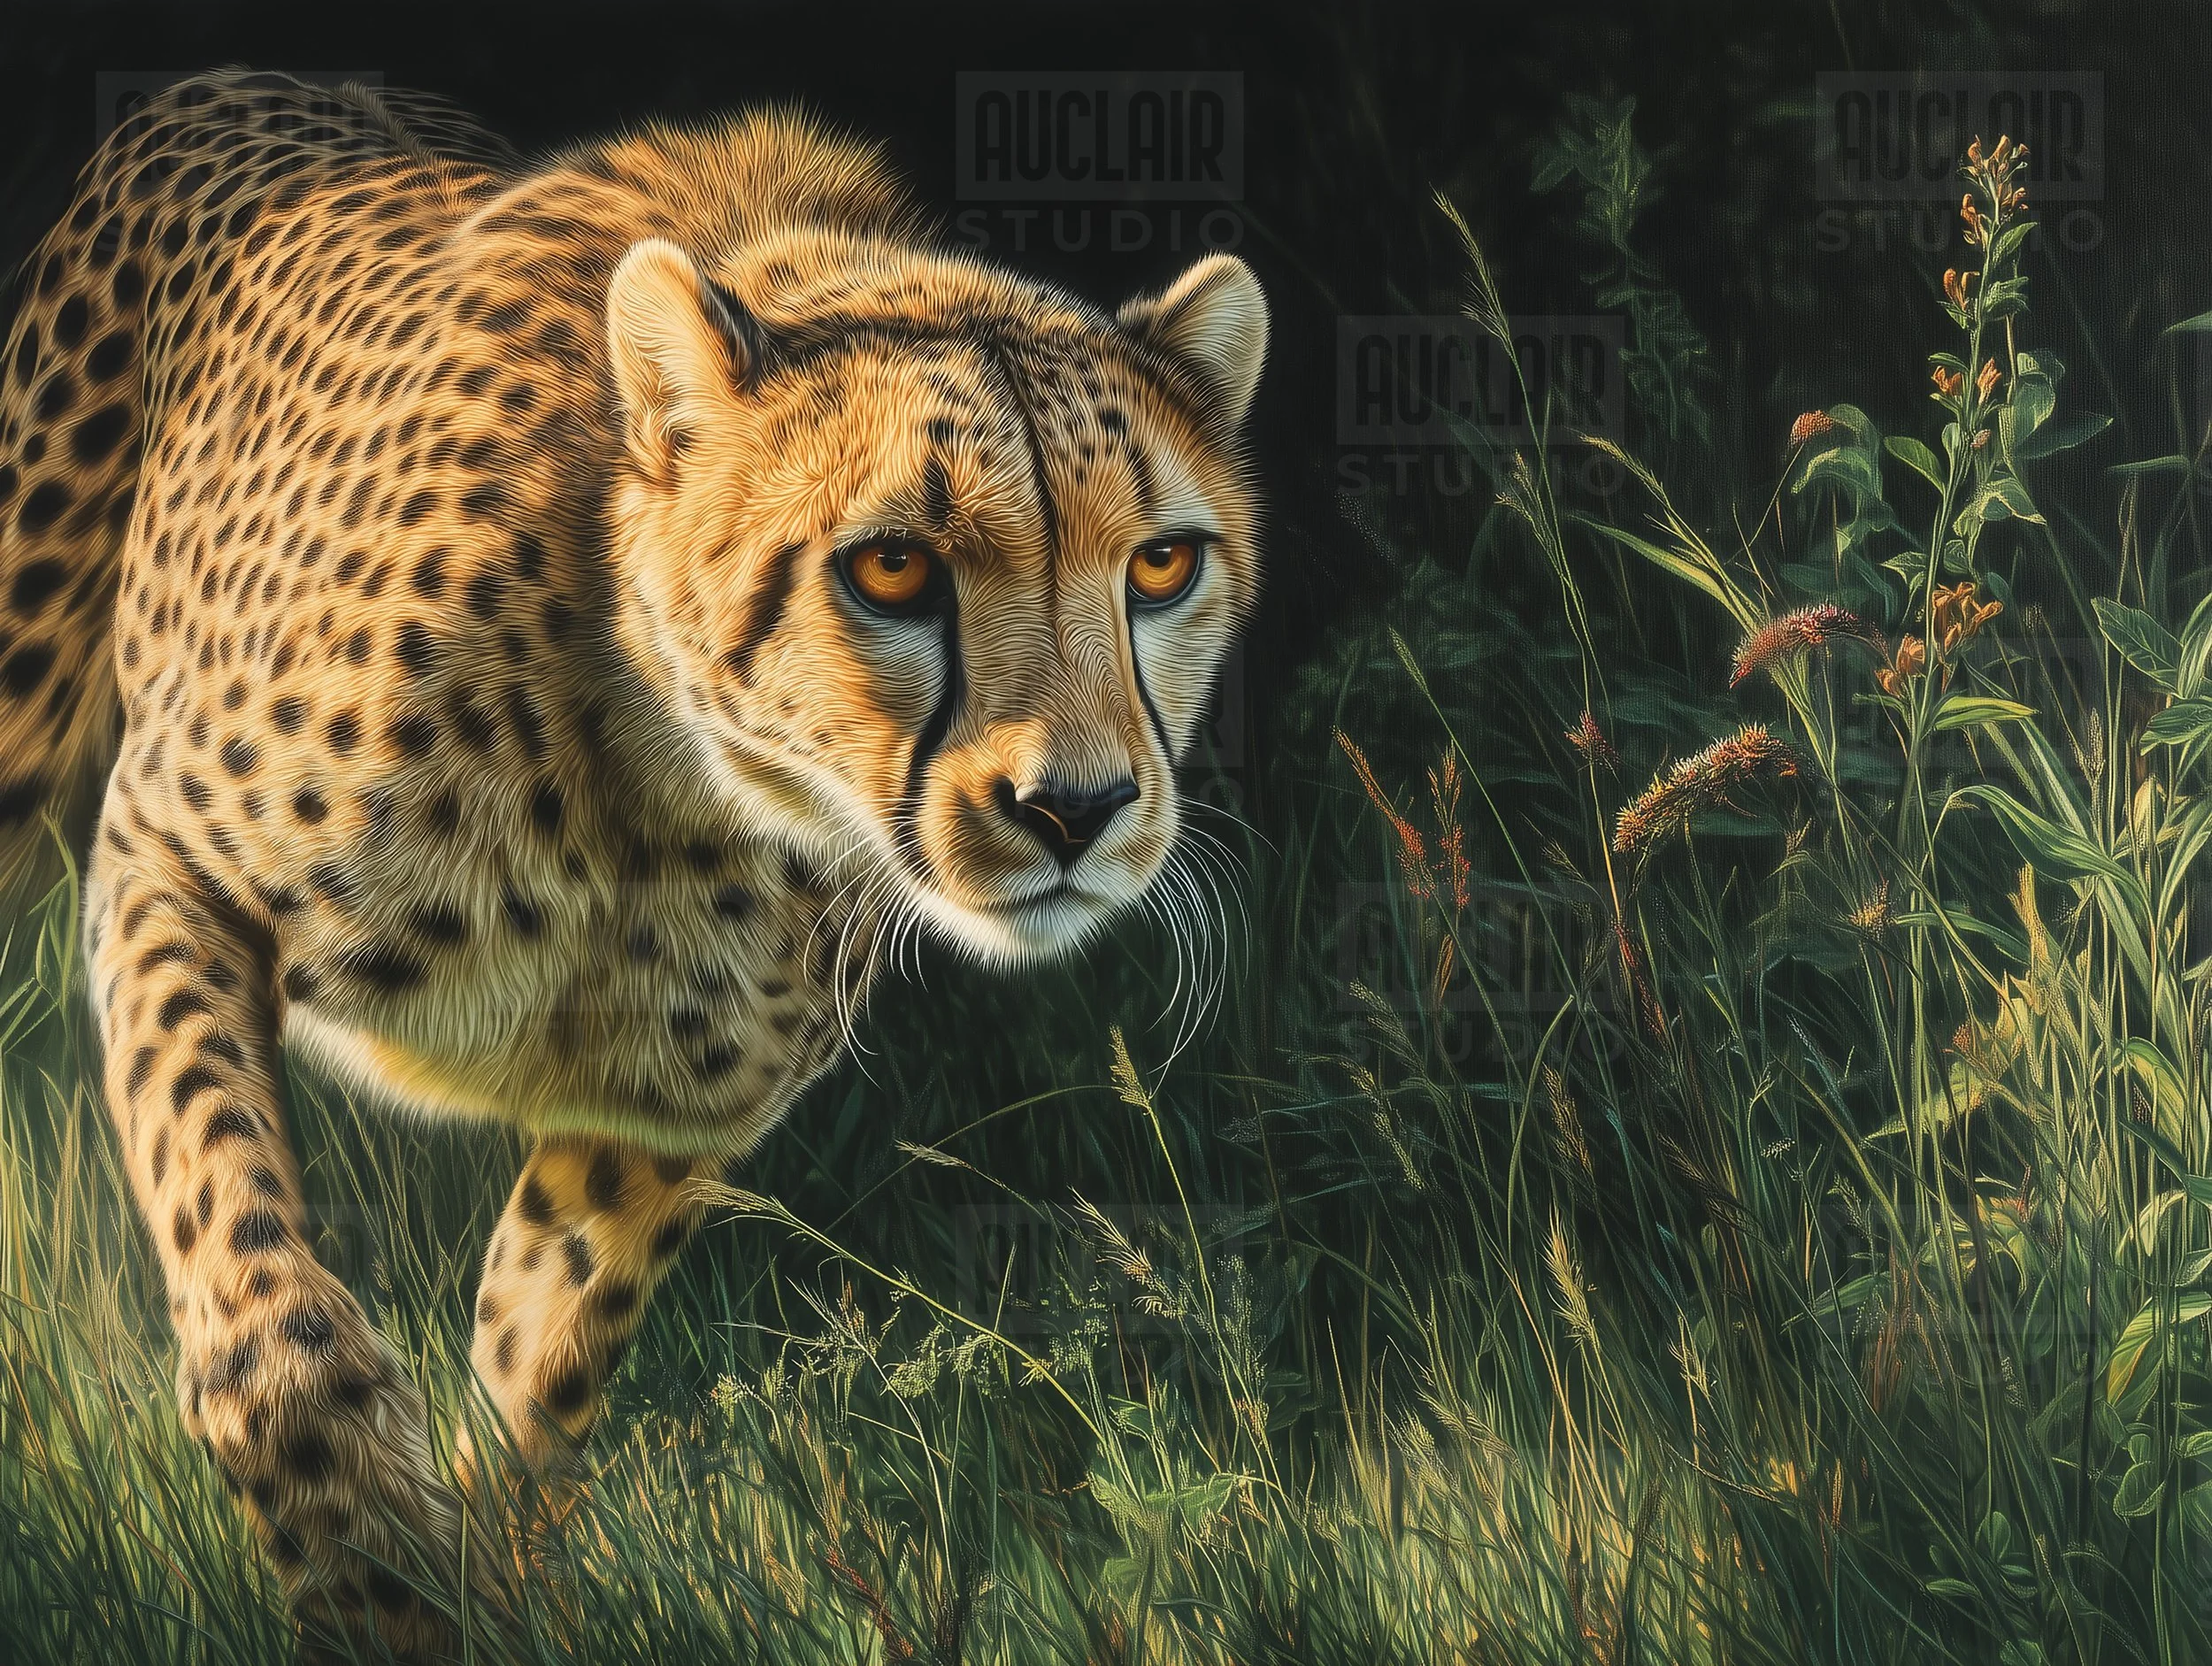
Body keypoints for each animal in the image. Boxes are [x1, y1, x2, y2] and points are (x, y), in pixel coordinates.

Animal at [0, 69, 1265, 1659]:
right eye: (893, 566)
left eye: (1162, 564)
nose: (1077, 806)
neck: (660, 776)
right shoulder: (163, 854)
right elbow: (238, 1238)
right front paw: (359, 1548)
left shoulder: (656, 1116)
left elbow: (542, 1365)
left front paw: (477, 1581)